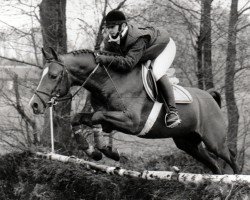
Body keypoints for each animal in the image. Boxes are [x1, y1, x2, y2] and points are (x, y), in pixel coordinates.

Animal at [29, 47, 238, 174]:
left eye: (53, 76)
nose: (34, 105)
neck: (109, 82)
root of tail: (209, 96)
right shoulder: (109, 118)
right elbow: (79, 118)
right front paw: (96, 152)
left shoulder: (132, 122)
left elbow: (97, 116)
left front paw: (107, 152)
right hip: (188, 143)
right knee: (214, 166)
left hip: (213, 141)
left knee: (230, 157)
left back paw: (236, 181)